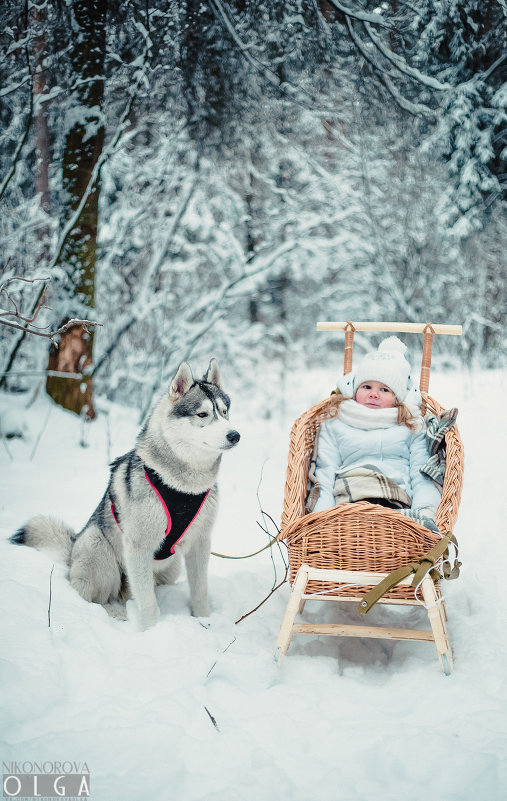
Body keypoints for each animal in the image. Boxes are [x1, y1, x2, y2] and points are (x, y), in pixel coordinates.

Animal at [10, 360, 241, 628]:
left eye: (224, 412)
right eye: (202, 414)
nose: (235, 435)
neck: (183, 485)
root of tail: (73, 550)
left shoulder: (200, 542)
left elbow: (200, 590)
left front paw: (204, 621)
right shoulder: (138, 547)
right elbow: (149, 604)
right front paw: (152, 631)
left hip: (171, 567)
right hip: (97, 548)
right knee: (94, 597)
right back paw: (117, 613)